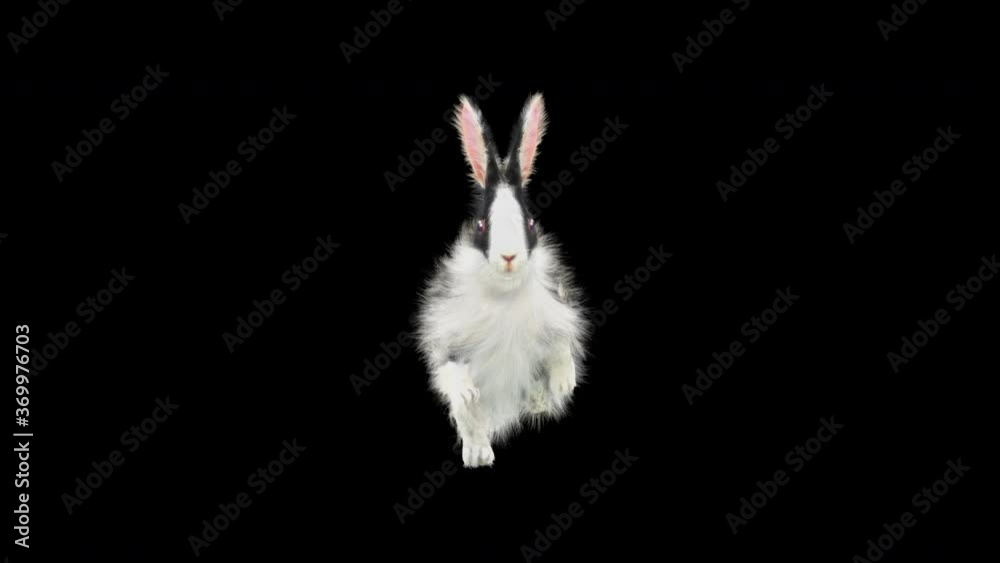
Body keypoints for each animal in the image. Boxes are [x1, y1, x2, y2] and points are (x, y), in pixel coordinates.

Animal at [415, 93, 589, 468]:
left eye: (530, 222)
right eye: (482, 225)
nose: (509, 256)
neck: (505, 293)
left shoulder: (555, 310)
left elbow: (560, 346)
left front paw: (564, 385)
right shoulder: (448, 337)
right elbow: (451, 370)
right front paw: (467, 391)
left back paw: (539, 401)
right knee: (472, 423)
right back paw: (479, 455)